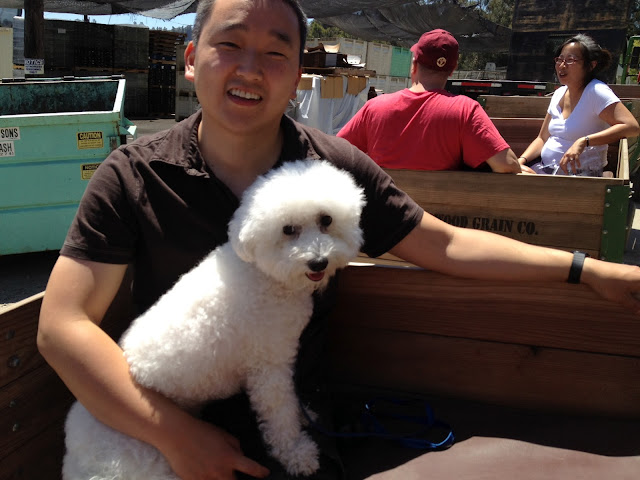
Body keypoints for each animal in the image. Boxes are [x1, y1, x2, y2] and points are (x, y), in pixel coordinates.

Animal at [62, 159, 366, 479]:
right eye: (288, 229)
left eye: (326, 219)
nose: (318, 262)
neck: (264, 274)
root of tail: (75, 459)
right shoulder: (267, 366)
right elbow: (279, 412)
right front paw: (296, 453)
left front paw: (303, 417)